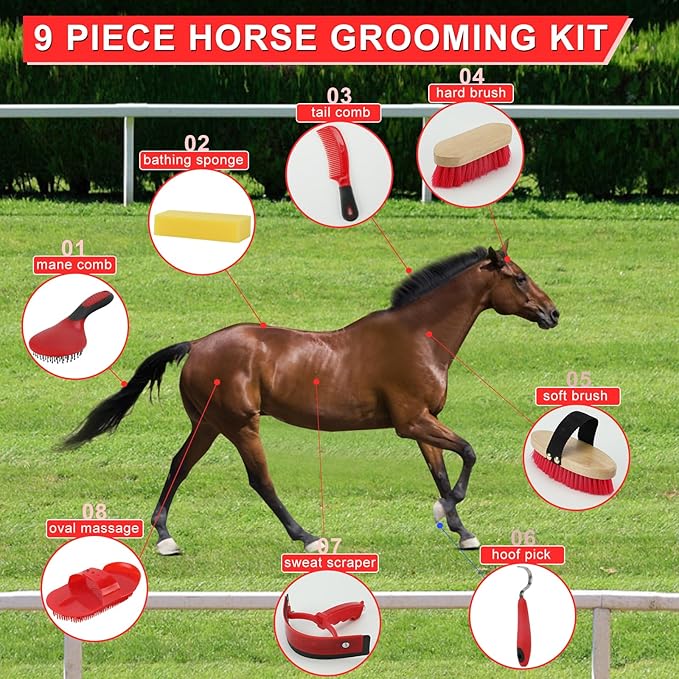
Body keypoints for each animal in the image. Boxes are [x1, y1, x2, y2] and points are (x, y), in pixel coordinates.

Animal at [63, 245, 559, 555]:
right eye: (519, 279)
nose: (553, 313)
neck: (419, 337)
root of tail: (198, 345)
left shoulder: (425, 421)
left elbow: (440, 471)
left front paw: (461, 530)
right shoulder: (411, 421)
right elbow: (468, 453)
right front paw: (449, 511)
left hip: (209, 424)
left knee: (179, 465)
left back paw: (166, 537)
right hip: (239, 423)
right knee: (259, 480)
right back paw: (306, 537)